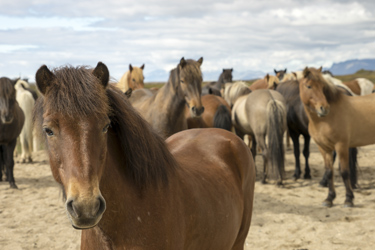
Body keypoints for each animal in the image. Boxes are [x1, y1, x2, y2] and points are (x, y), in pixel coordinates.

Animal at [300, 66, 375, 207]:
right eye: (309, 86)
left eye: (322, 86)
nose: (324, 108)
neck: (326, 119)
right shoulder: (324, 148)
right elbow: (329, 172)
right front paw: (329, 199)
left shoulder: (341, 146)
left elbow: (344, 172)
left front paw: (349, 199)